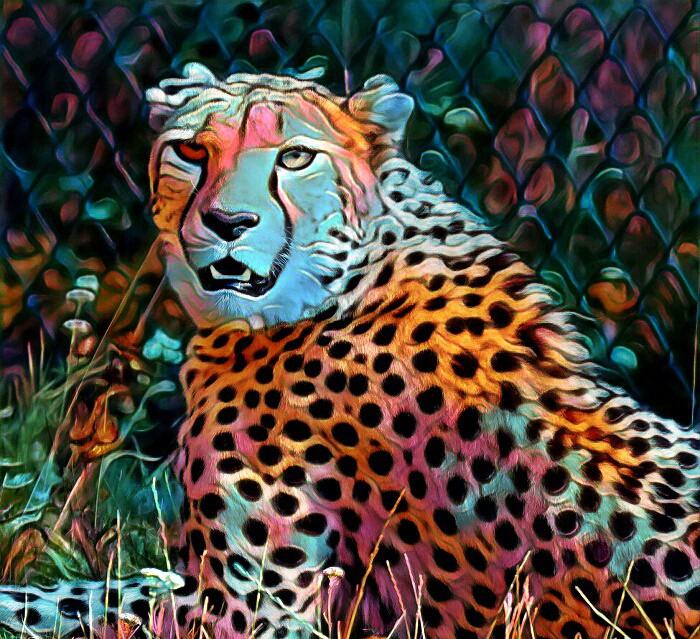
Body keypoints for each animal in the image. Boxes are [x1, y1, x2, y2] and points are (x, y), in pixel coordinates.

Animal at [0, 63, 698, 639]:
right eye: (192, 152)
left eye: (295, 157)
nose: (228, 223)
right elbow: (92, 591)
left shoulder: (246, 612)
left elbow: (79, 599)